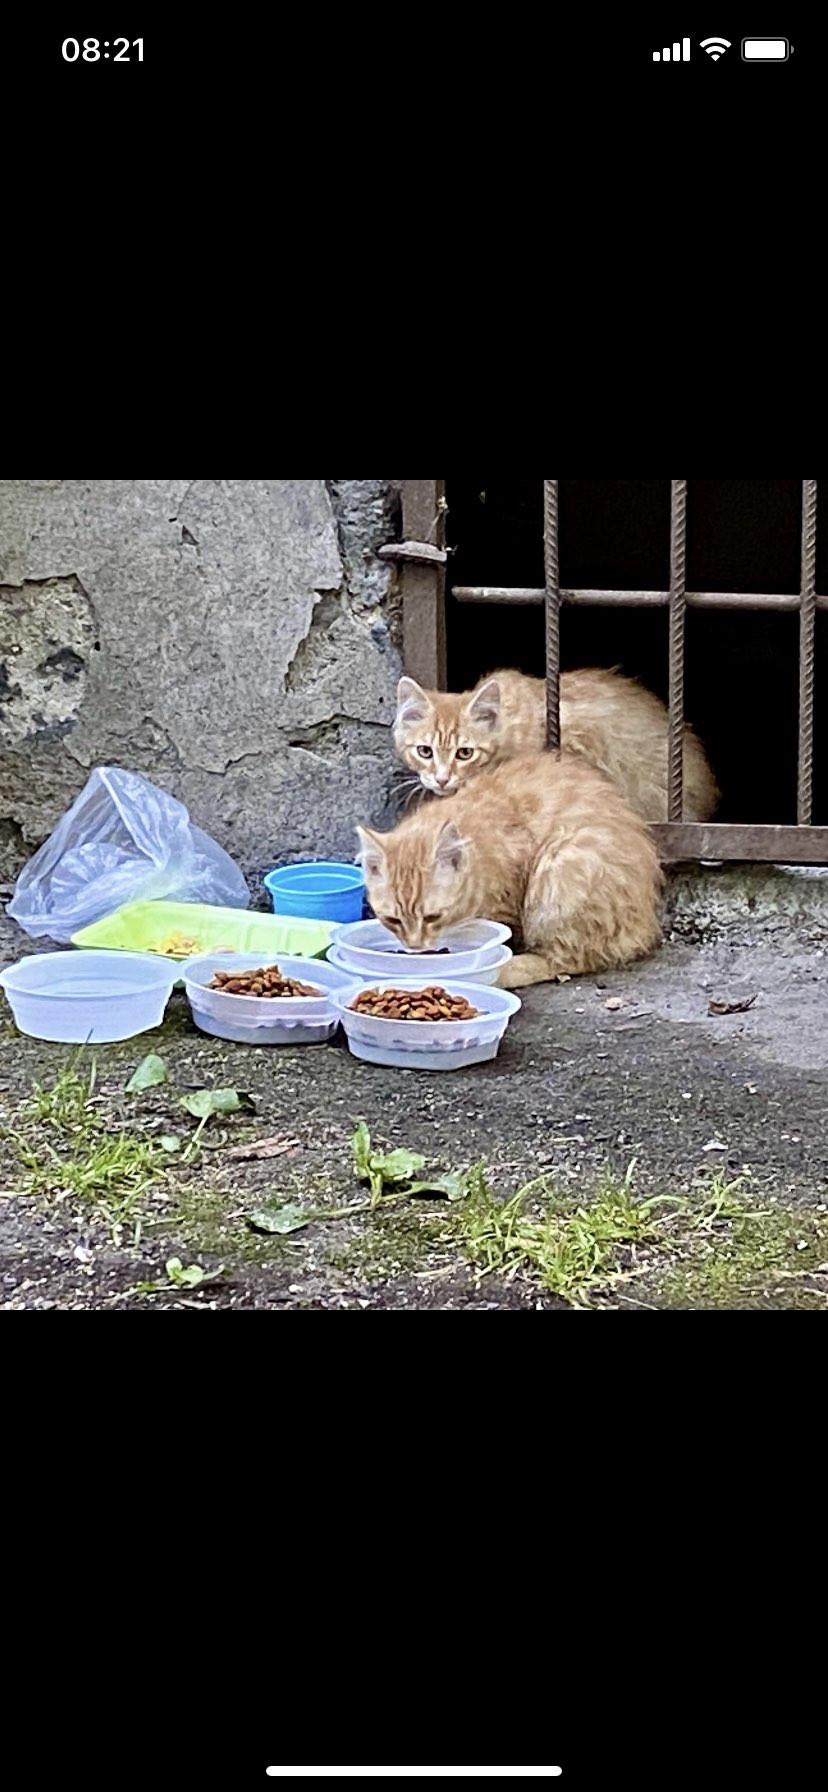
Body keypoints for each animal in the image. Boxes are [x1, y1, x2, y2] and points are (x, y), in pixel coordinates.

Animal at [356, 749, 659, 989]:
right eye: (392, 920)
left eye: (432, 917)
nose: (415, 947)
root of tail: (645, 925)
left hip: (560, 874)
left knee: (568, 959)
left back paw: (505, 972)